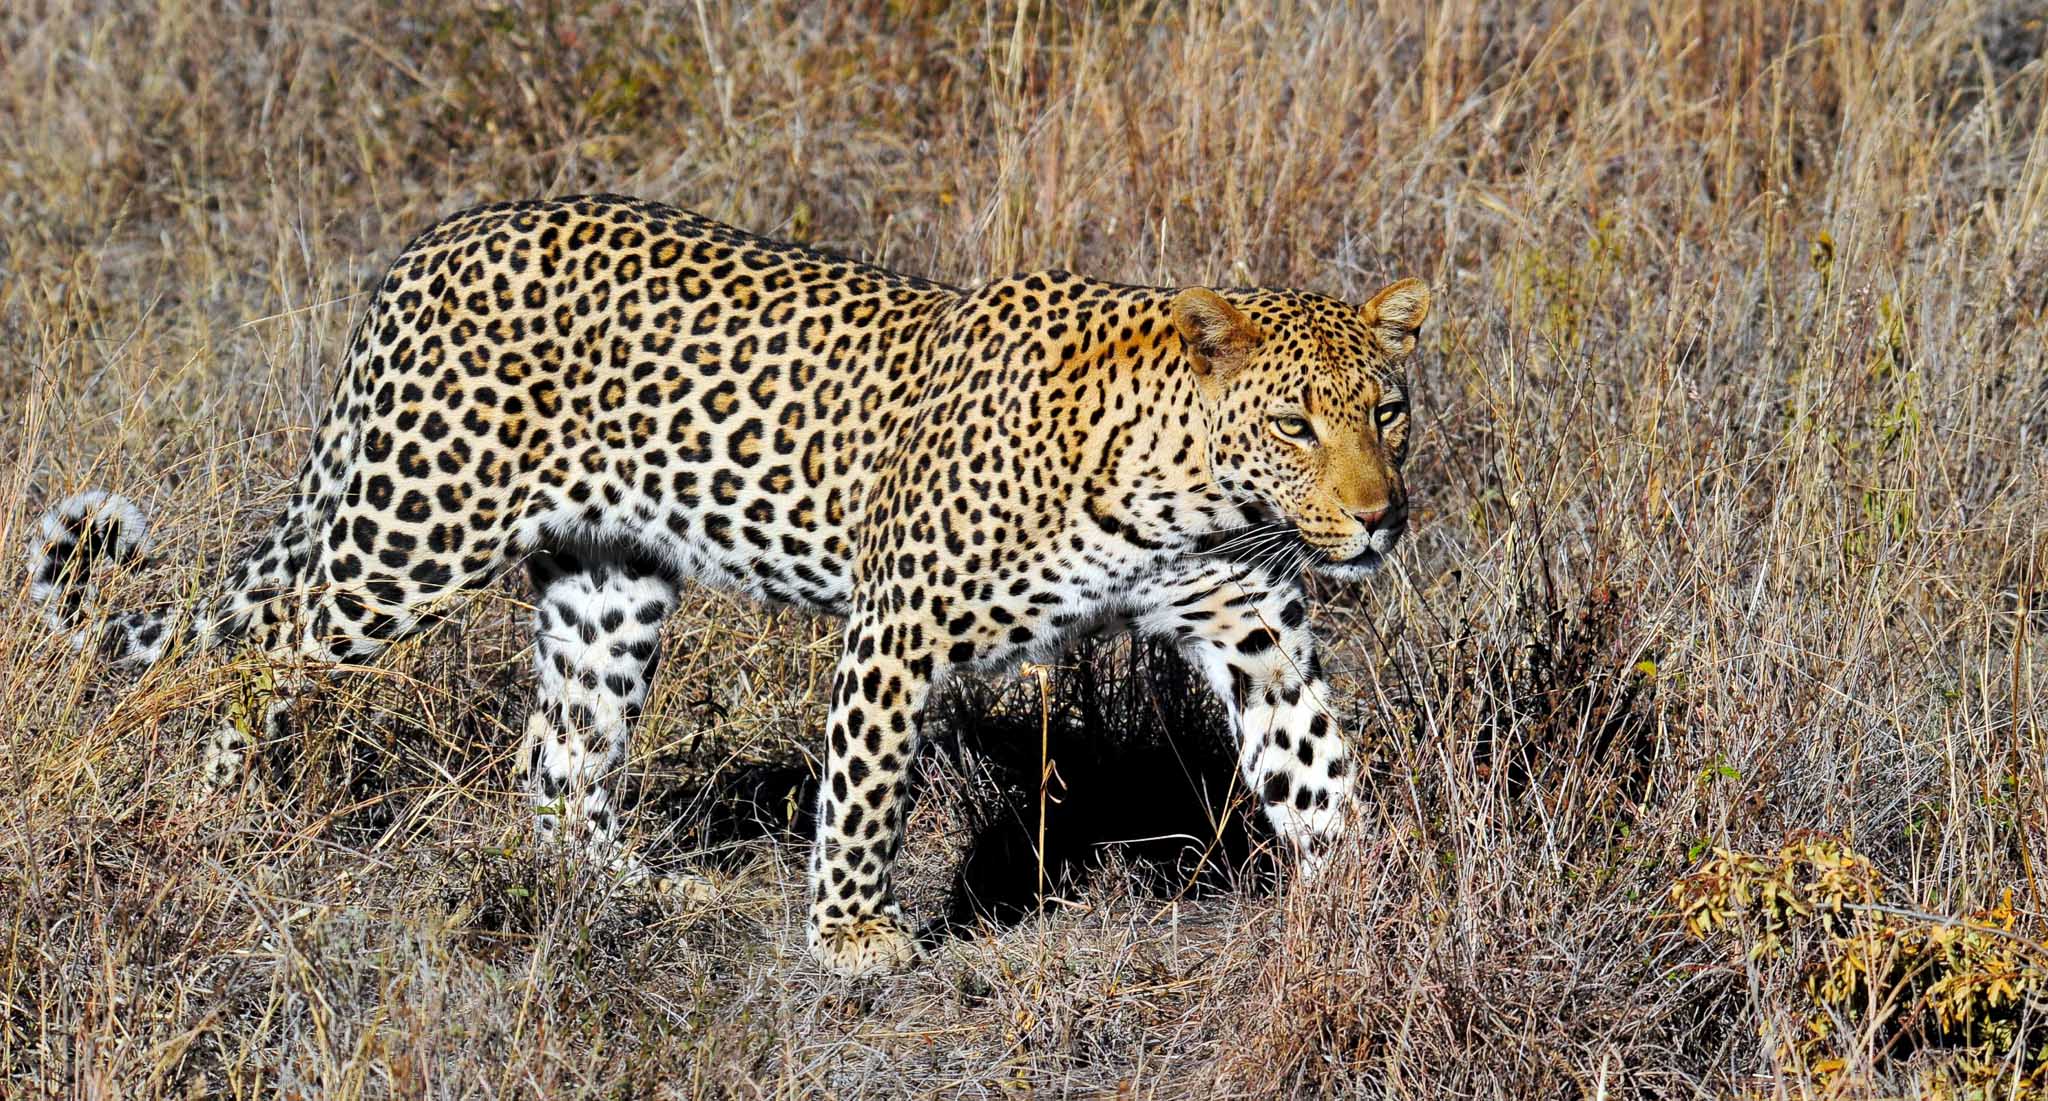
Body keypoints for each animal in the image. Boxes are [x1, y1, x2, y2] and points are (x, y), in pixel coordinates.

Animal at [28, 194, 1430, 976]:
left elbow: (1314, 775)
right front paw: (852, 940)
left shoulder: (1254, 629)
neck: (1184, 492)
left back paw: (626, 886)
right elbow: (864, 795)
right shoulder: (898, 628)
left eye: (1389, 411)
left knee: (558, 753)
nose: (1378, 517)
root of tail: (431, 243)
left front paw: (1375, 912)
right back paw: (216, 811)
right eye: (1295, 423)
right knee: (260, 648)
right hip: (408, 533)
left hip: (611, 579)